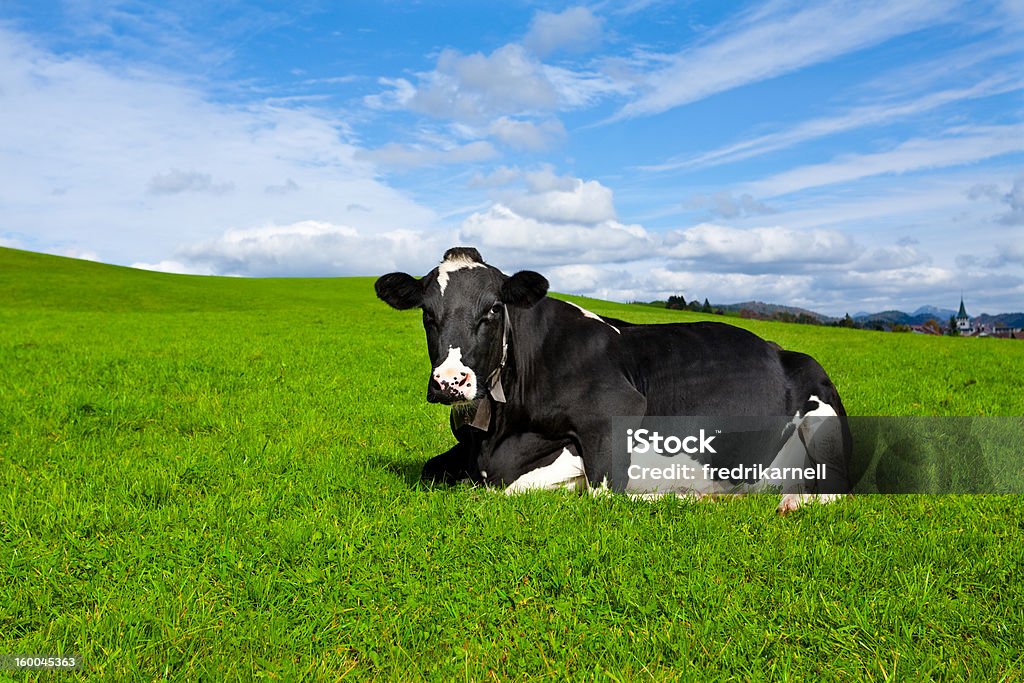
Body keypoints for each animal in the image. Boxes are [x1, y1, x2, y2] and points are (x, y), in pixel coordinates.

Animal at [374, 246, 847, 511]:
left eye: (492, 309)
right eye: (427, 313)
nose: (450, 381)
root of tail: (779, 349)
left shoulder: (616, 411)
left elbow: (591, 490)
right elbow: (434, 470)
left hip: (823, 419)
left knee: (837, 488)